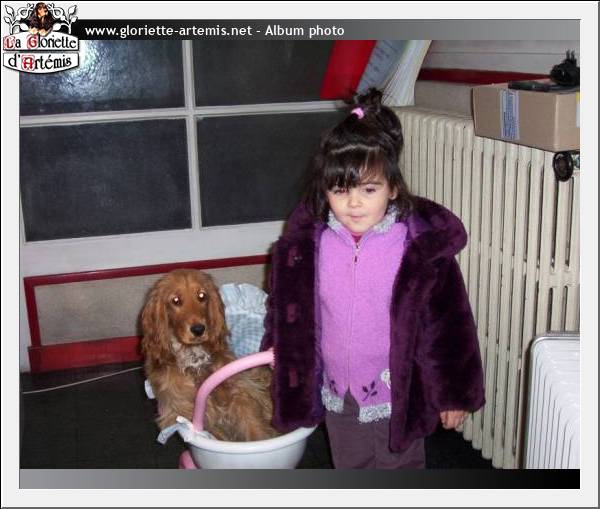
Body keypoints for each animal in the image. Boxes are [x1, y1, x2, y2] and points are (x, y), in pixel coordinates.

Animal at [140, 269, 279, 442]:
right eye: (175, 300)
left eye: (202, 296)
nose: (198, 329)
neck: (194, 359)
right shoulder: (187, 410)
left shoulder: (239, 394)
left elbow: (254, 427)